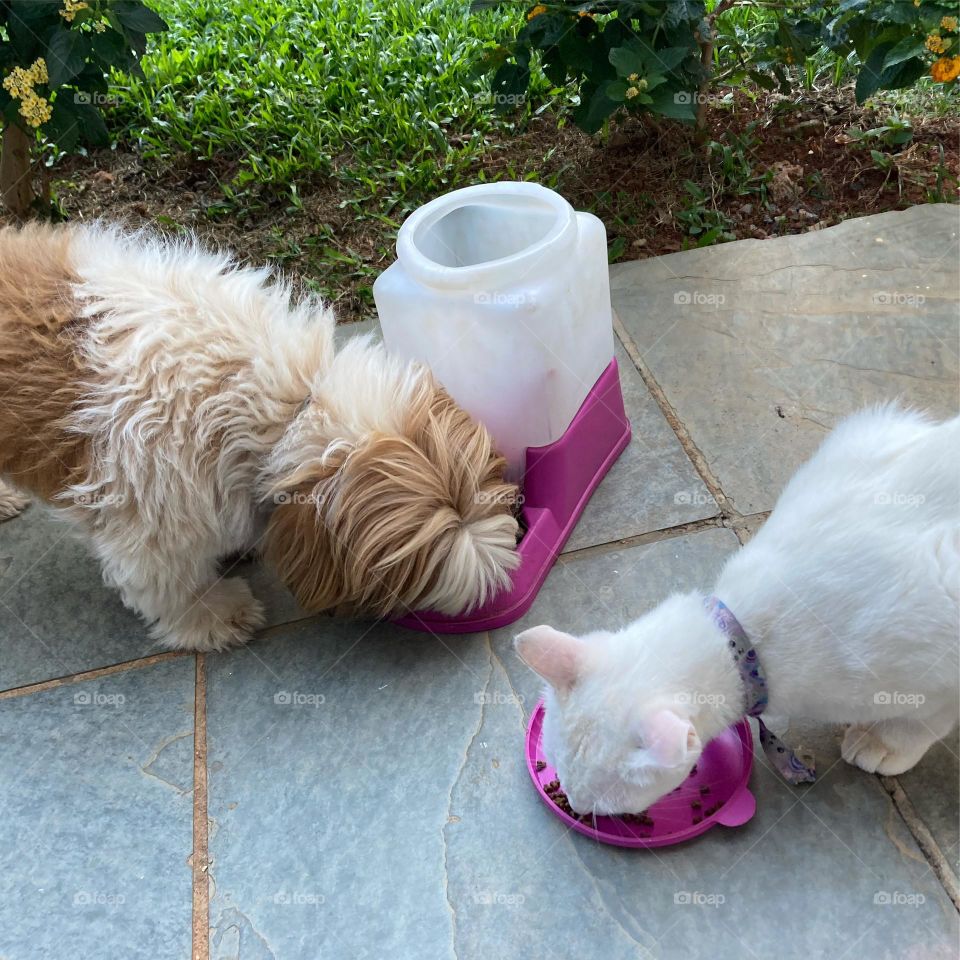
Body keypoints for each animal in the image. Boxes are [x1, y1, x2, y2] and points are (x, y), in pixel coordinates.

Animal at [516, 406, 960, 816]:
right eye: (556, 766)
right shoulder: (875, 436)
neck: (743, 640)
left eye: (605, 805)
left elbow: (923, 719)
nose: (572, 801)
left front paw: (884, 743)